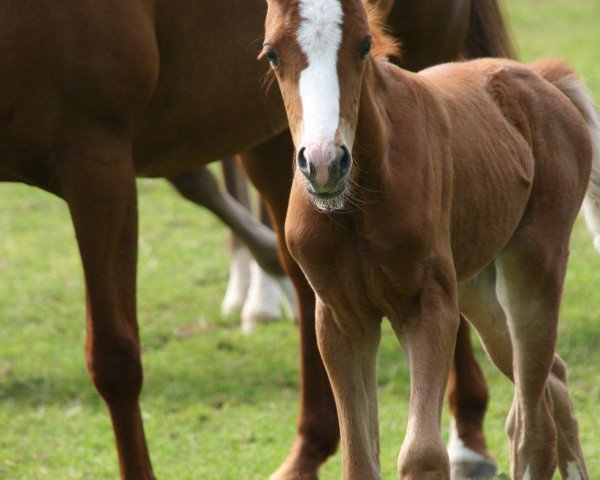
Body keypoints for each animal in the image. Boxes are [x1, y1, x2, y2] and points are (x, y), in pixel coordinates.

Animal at [0, 0, 512, 478]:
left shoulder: (97, 157)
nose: (325, 164)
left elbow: (115, 358)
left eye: (365, 46)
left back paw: (466, 442)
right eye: (270, 54)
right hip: (271, 136)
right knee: (307, 281)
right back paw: (308, 448)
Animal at [264, 0, 596, 480]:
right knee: (552, 380)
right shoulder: (341, 319)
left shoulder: (428, 305)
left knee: (535, 429)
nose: (324, 164)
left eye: (364, 45)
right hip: (477, 289)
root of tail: (538, 78)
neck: (357, 205)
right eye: (272, 53)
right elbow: (359, 460)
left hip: (534, 268)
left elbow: (422, 452)